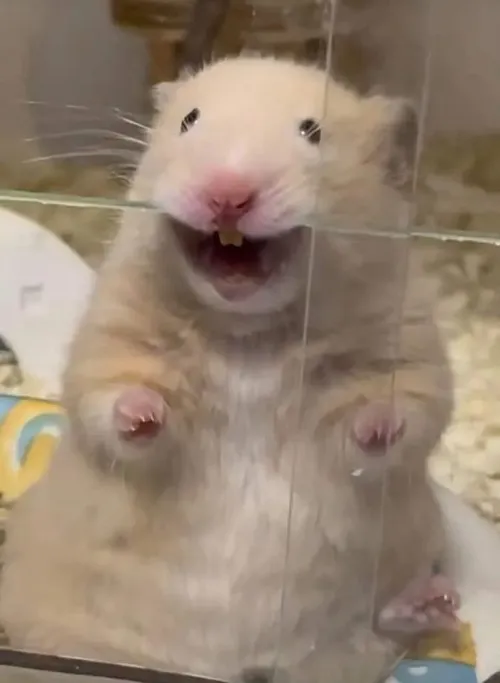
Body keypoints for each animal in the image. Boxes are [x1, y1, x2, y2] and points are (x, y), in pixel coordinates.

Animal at [0, 56, 454, 683]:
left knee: (378, 633)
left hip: (347, 647)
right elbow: (111, 398)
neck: (248, 333)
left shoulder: (406, 344)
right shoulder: (111, 335)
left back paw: (429, 604)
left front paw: (376, 422)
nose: (228, 196)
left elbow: (403, 410)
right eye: (189, 121)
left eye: (312, 131)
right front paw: (145, 413)